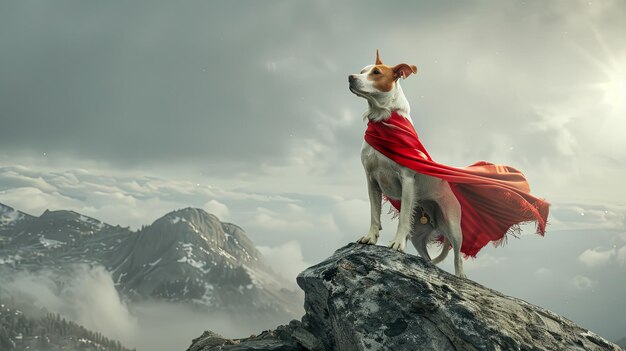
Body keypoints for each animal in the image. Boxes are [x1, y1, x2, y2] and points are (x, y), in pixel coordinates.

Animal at [348, 50, 466, 280]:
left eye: (376, 72)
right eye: (361, 71)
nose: (350, 77)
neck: (383, 120)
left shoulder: (407, 180)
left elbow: (402, 218)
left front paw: (396, 243)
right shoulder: (371, 180)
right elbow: (374, 214)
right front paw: (370, 237)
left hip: (453, 227)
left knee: (458, 257)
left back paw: (460, 276)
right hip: (419, 234)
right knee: (426, 257)